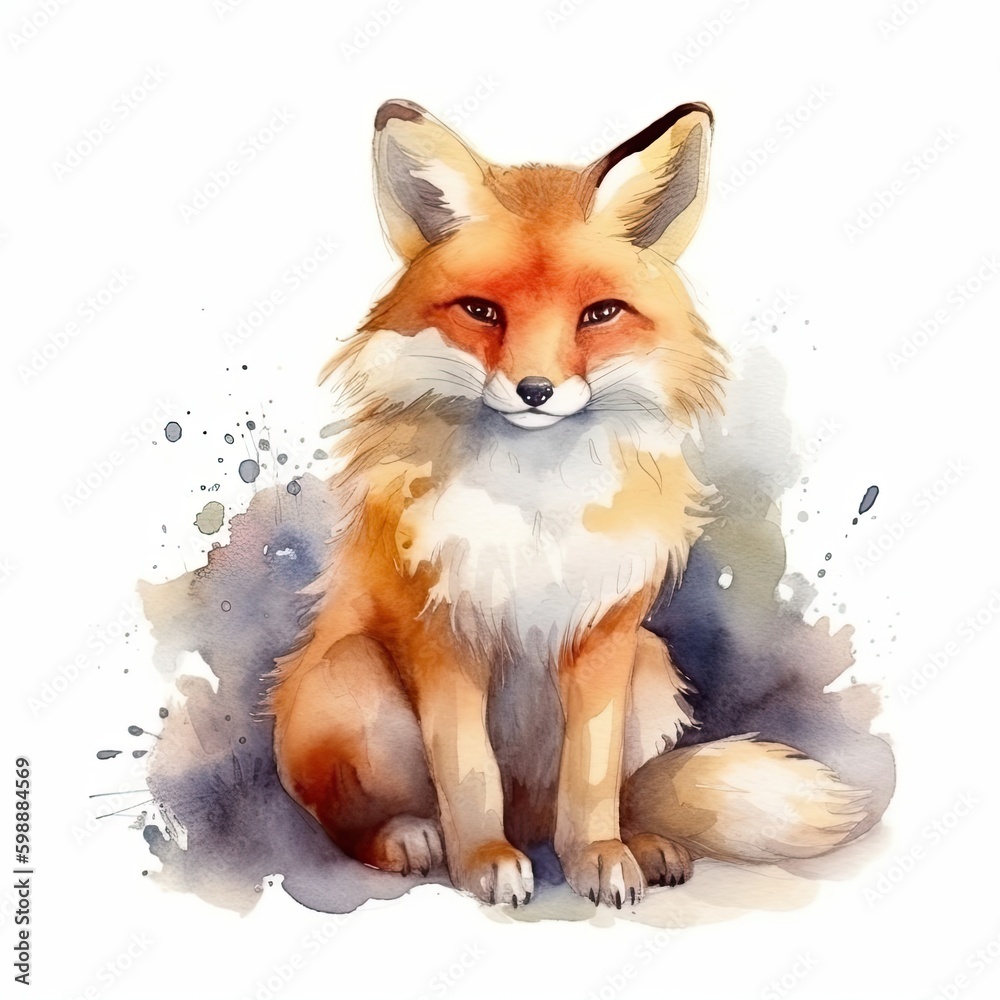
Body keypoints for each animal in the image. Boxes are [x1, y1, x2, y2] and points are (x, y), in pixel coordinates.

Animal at [268, 99, 870, 909]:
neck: (535, 506)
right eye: (482, 311)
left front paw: (601, 859)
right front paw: (483, 862)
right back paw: (411, 839)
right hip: (354, 679)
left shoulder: (604, 634)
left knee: (611, 796)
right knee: (356, 821)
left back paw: (640, 843)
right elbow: (469, 777)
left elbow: (591, 783)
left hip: (651, 664)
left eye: (600, 314)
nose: (535, 391)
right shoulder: (444, 632)